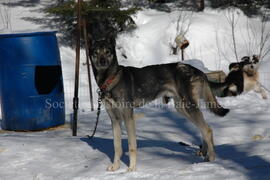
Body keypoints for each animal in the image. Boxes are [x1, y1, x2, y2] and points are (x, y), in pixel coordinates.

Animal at [89, 37, 229, 172]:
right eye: (96, 52)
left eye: (107, 52)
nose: (102, 61)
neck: (110, 79)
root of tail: (199, 71)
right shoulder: (115, 120)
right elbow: (117, 147)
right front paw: (116, 167)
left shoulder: (128, 117)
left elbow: (132, 146)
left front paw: (132, 168)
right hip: (182, 108)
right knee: (204, 128)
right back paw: (204, 153)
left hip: (189, 107)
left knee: (207, 130)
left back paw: (211, 158)